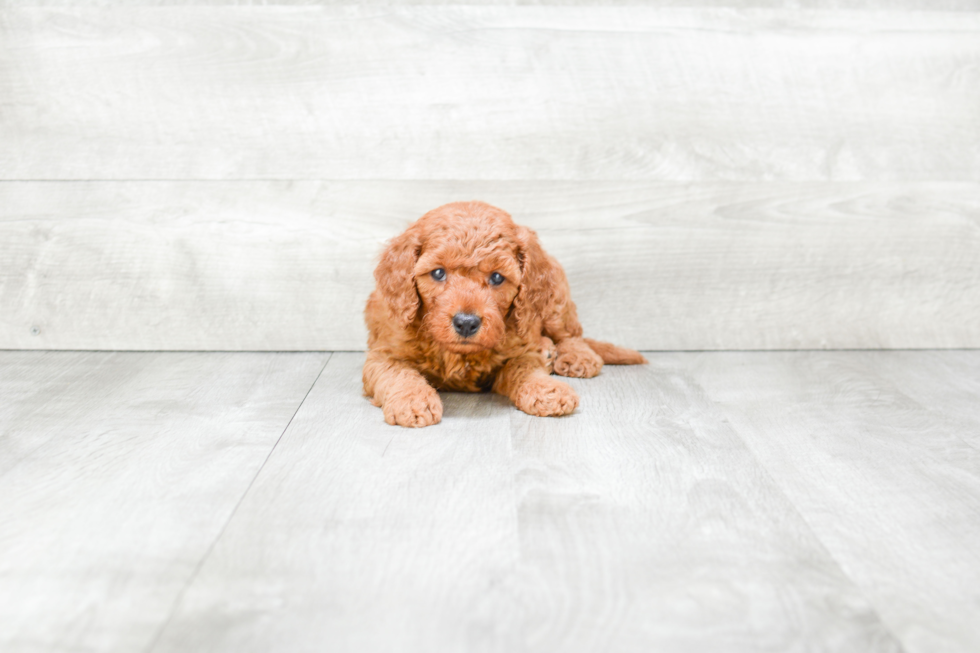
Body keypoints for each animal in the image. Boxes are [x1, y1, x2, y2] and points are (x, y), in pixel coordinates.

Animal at [364, 200, 648, 428]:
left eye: (497, 277)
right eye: (438, 273)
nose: (466, 323)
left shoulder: (520, 350)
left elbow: (524, 367)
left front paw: (546, 389)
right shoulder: (383, 354)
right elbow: (398, 373)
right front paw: (411, 401)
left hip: (556, 300)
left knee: (571, 334)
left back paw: (576, 356)